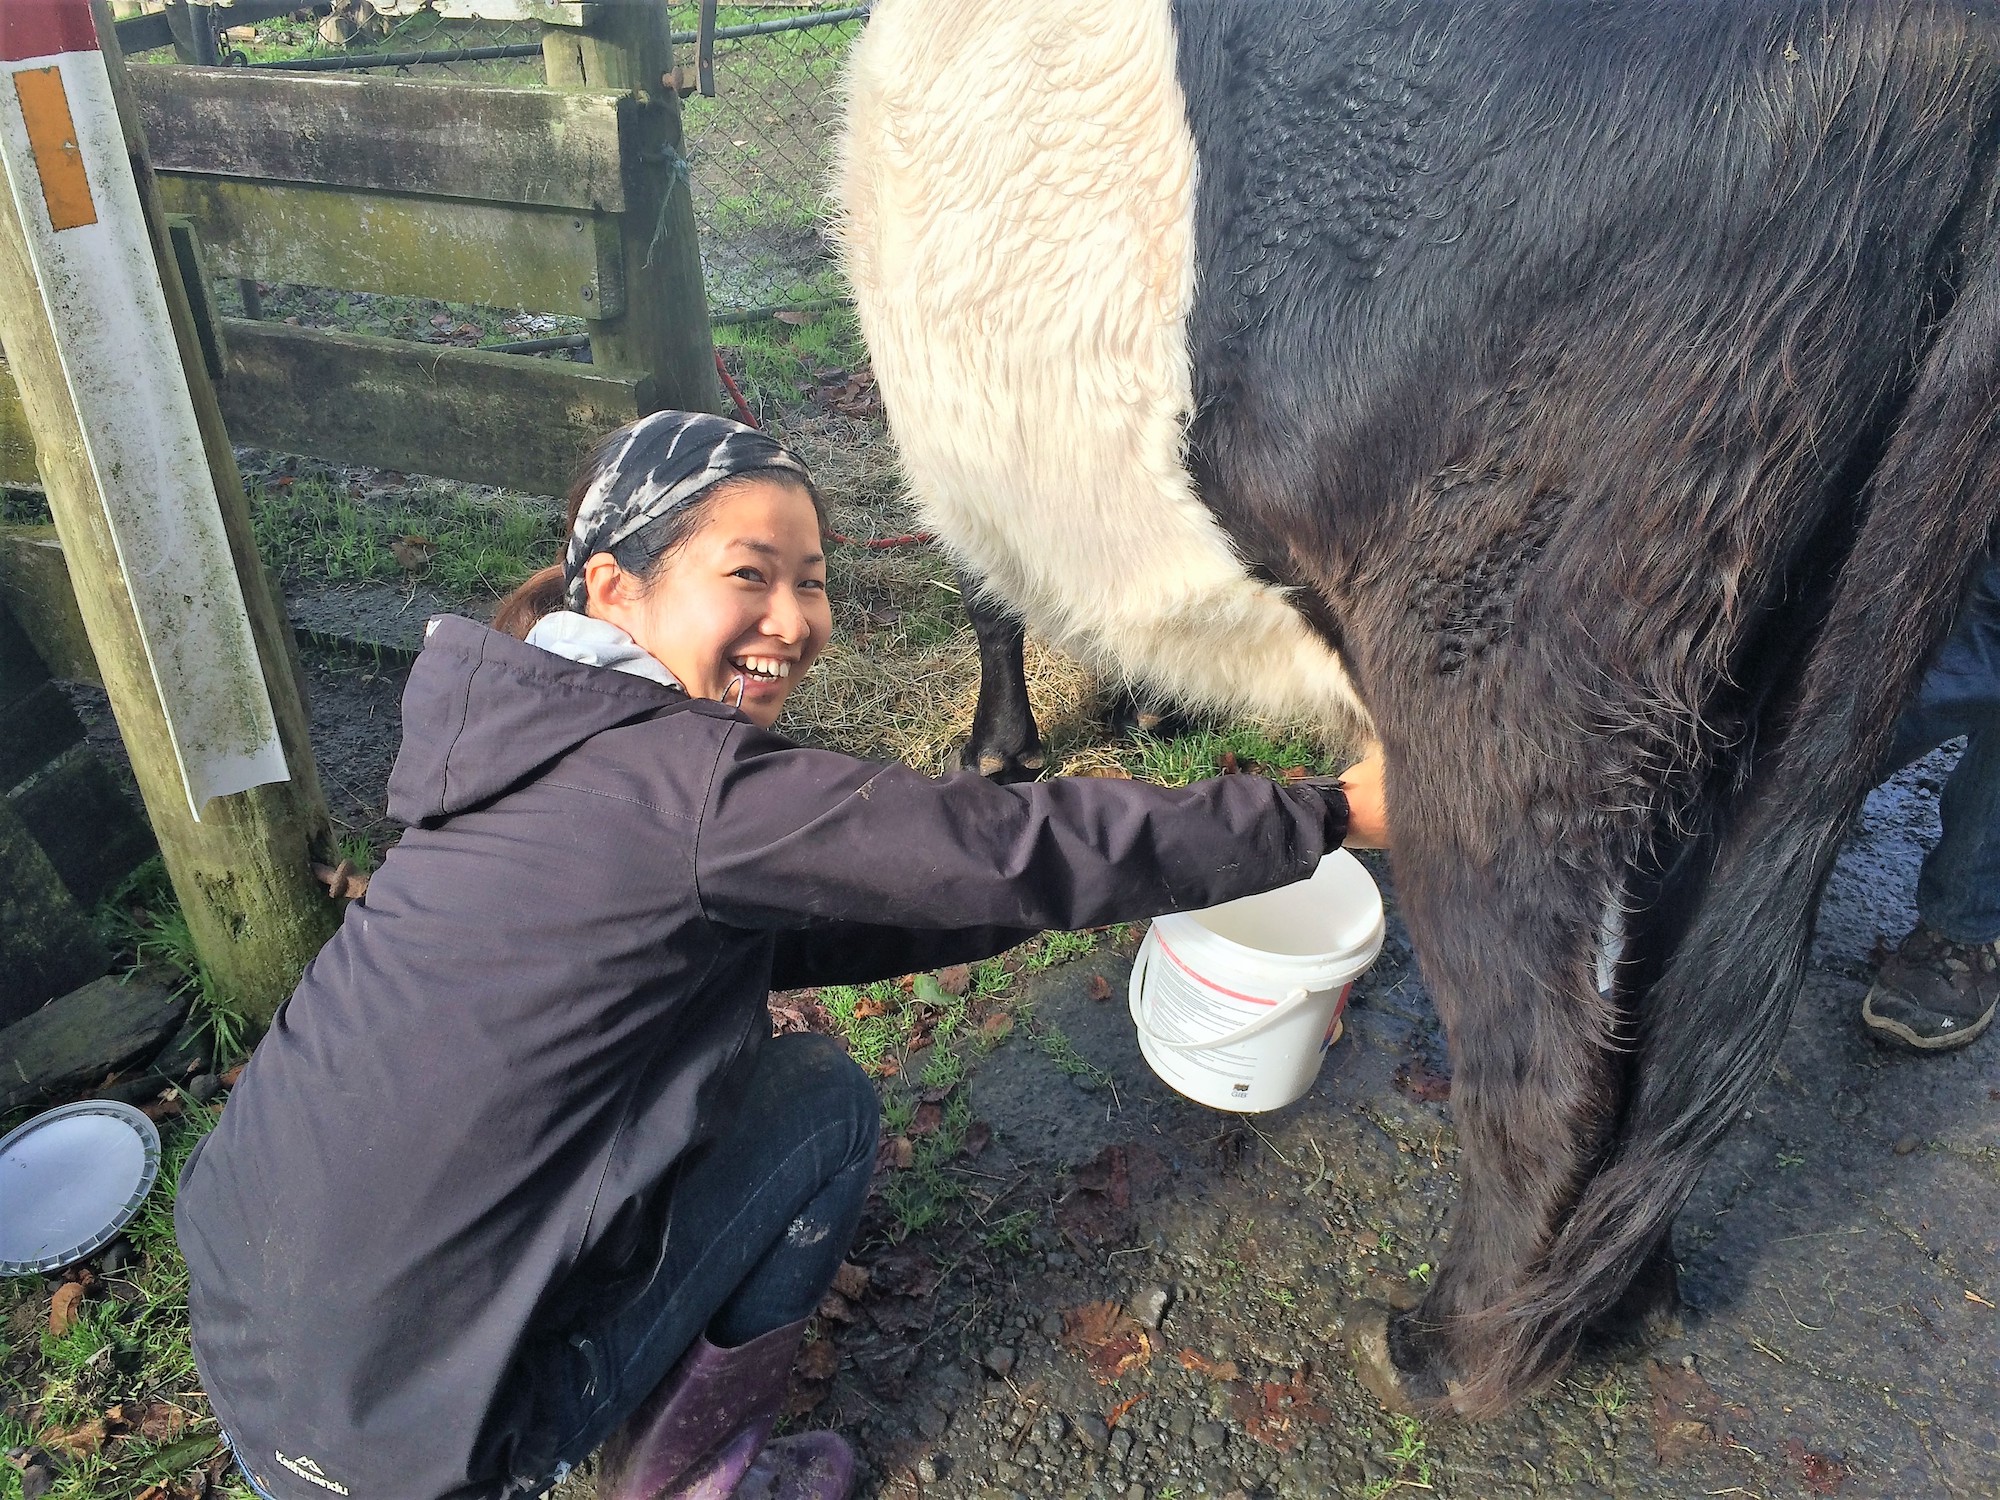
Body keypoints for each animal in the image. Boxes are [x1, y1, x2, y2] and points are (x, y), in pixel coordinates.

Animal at [836, 0, 2000, 1416]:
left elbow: (986, 592)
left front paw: (1001, 752)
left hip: (1506, 677)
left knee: (1548, 1052)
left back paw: (1442, 1353)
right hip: (1795, 693)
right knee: (1678, 1020)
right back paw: (1620, 1302)